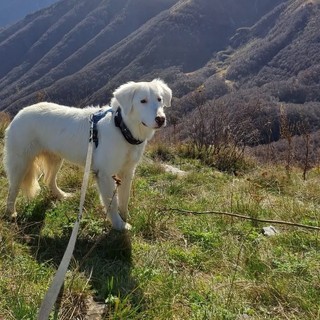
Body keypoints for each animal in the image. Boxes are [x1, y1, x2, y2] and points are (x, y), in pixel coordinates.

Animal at [3, 79, 172, 231]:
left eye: (159, 99)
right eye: (143, 101)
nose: (161, 119)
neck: (122, 128)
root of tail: (20, 113)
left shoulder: (127, 172)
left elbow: (124, 199)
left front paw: (125, 217)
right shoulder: (105, 174)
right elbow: (112, 203)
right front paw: (119, 225)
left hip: (56, 158)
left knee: (49, 180)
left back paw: (62, 195)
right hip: (20, 163)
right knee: (12, 190)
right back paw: (11, 213)